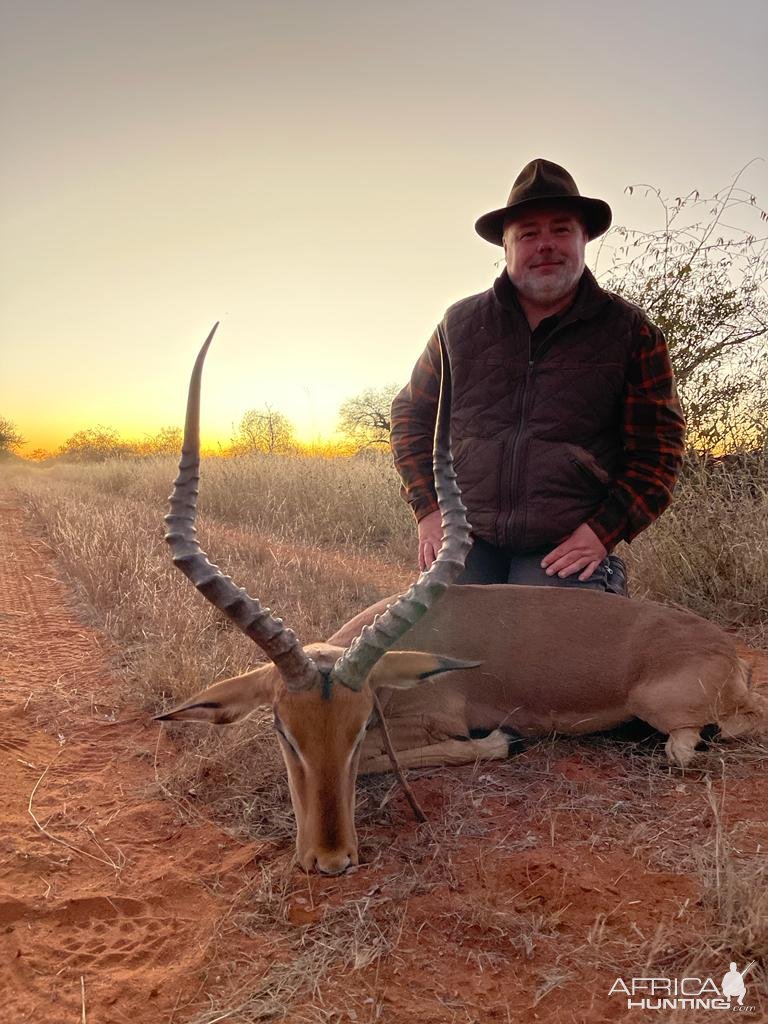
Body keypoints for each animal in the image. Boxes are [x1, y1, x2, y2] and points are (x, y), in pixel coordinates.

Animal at [157, 325, 768, 872]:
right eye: (284, 731)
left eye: (358, 727)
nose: (330, 860)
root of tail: (726, 650)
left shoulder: (431, 724)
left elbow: (400, 757)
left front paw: (505, 741)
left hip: (665, 708)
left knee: (710, 735)